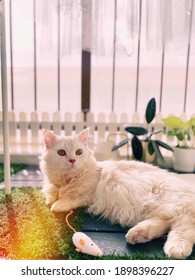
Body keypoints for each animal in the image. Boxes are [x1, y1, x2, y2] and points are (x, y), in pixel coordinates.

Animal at [39, 128, 195, 260]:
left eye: (78, 152)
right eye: (61, 153)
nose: (72, 160)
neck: (67, 179)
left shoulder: (88, 191)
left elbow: (70, 198)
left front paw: (57, 204)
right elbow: (51, 193)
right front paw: (51, 198)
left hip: (175, 203)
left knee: (184, 225)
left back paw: (176, 248)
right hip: (159, 209)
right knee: (166, 222)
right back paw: (139, 234)